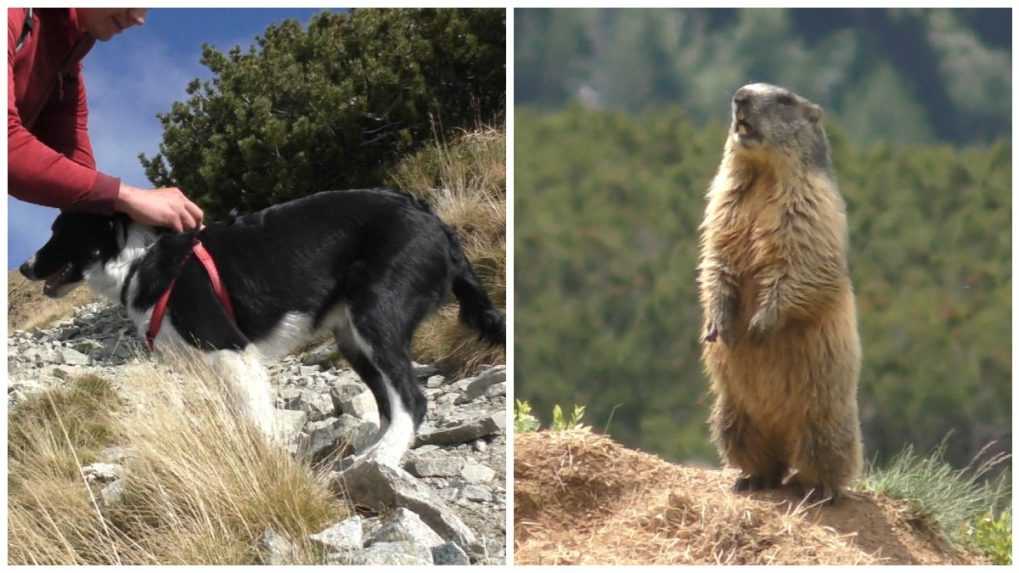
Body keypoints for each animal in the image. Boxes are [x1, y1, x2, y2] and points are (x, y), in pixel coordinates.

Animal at [19, 187, 505, 464]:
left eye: (59, 231)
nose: (23, 267)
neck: (142, 258)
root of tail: (433, 220)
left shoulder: (231, 351)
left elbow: (255, 419)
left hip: (375, 315)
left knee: (412, 398)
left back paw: (384, 457)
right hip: (353, 338)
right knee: (388, 400)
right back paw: (371, 449)